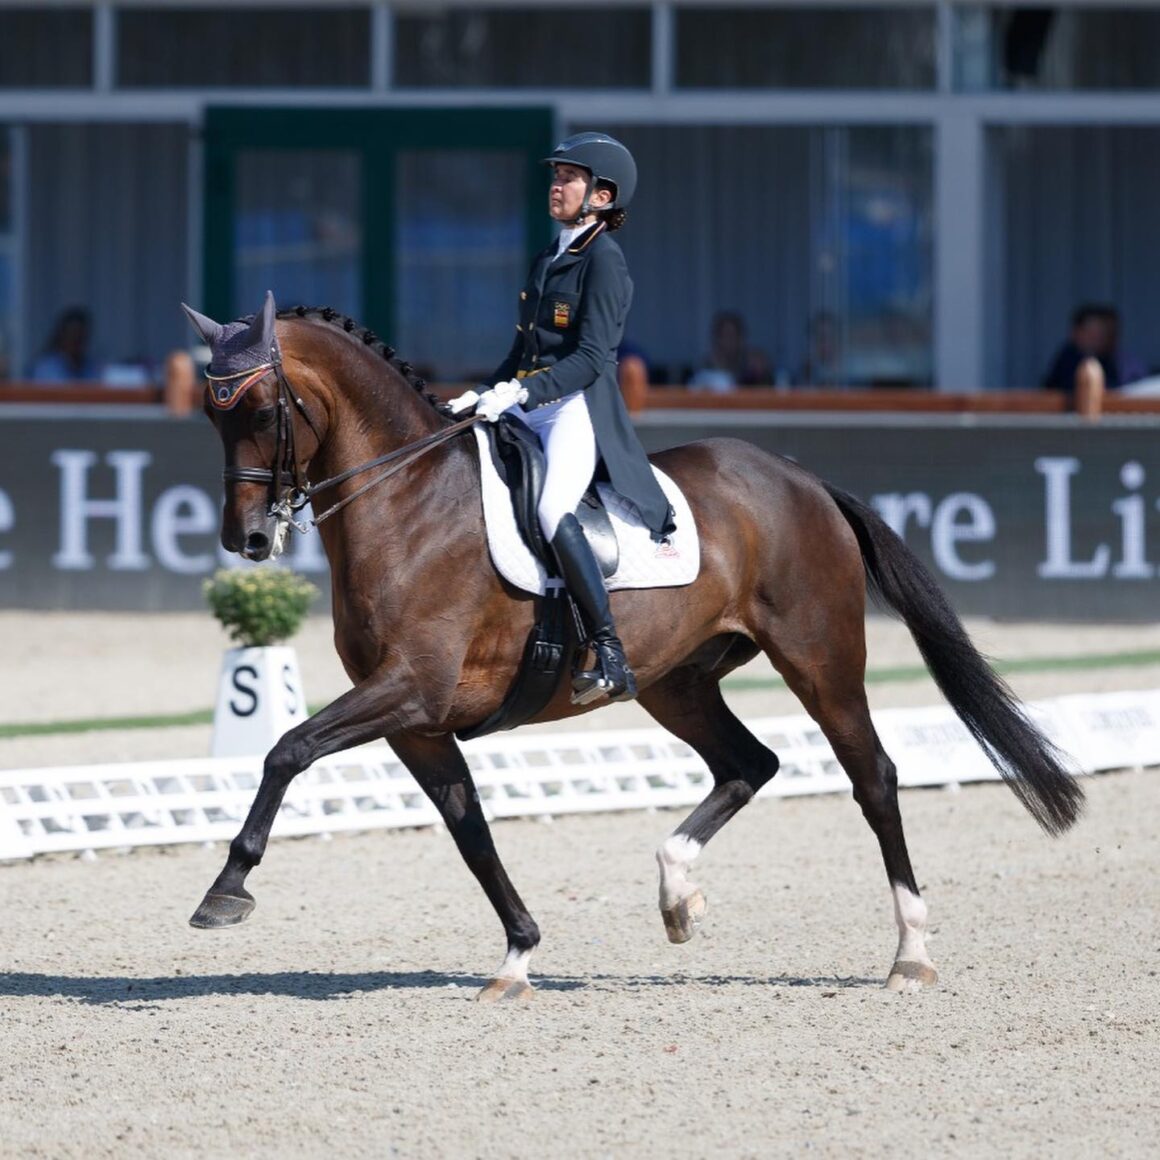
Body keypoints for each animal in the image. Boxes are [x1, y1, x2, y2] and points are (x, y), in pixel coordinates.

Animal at [180, 296, 1076, 997]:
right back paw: (678, 894)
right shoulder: (417, 723)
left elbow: (286, 751)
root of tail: (800, 478)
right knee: (750, 764)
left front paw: (226, 890)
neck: (410, 502)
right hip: (674, 681)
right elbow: (471, 831)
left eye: (262, 410)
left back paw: (910, 953)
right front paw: (518, 956)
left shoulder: (412, 689)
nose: (246, 540)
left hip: (820, 662)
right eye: (212, 414)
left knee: (874, 779)